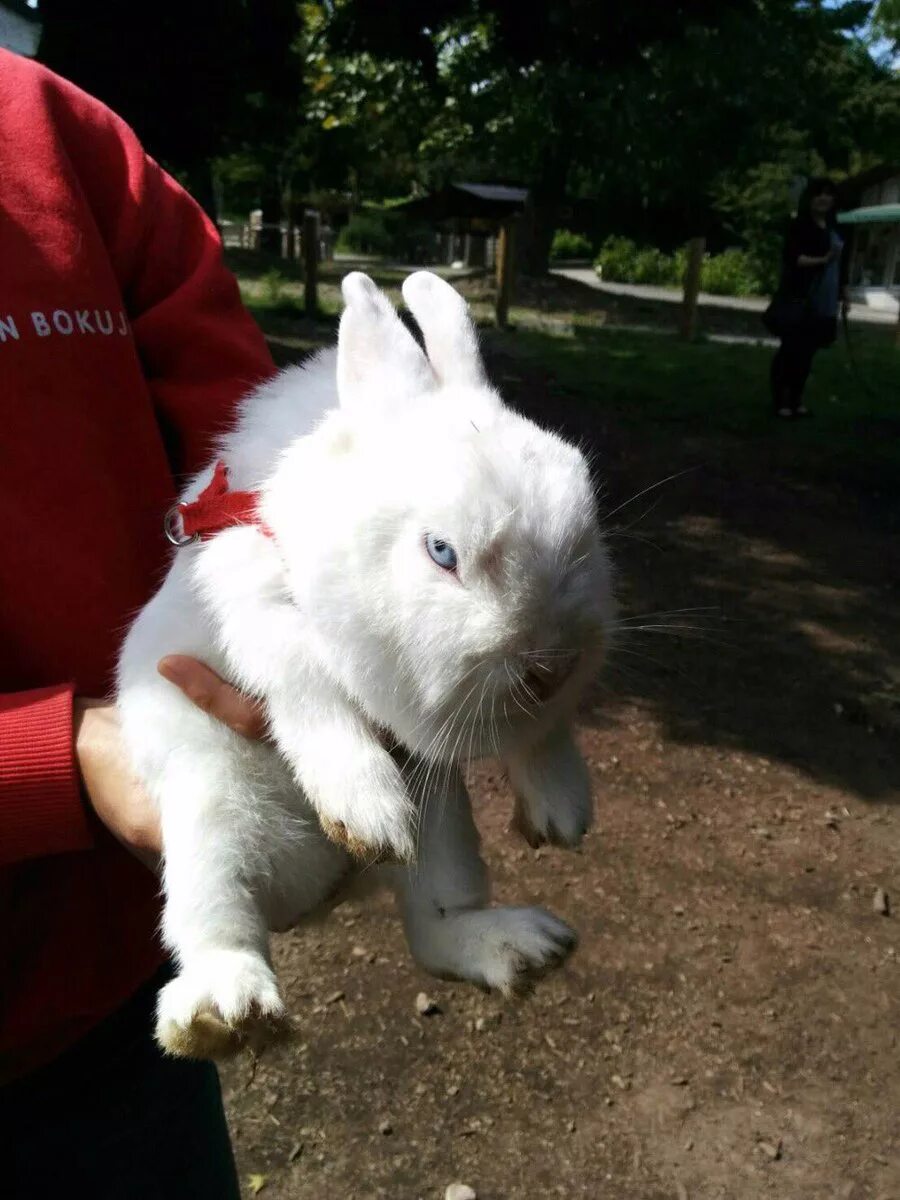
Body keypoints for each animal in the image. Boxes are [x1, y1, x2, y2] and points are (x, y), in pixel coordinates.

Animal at [116, 270, 614, 1060]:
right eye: (441, 552)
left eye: (586, 528)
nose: (550, 666)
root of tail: (322, 889)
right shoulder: (255, 595)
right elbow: (308, 684)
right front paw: (368, 812)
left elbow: (543, 735)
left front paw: (562, 811)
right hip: (206, 811)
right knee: (216, 921)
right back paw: (228, 1013)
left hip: (446, 826)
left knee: (434, 928)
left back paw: (518, 946)